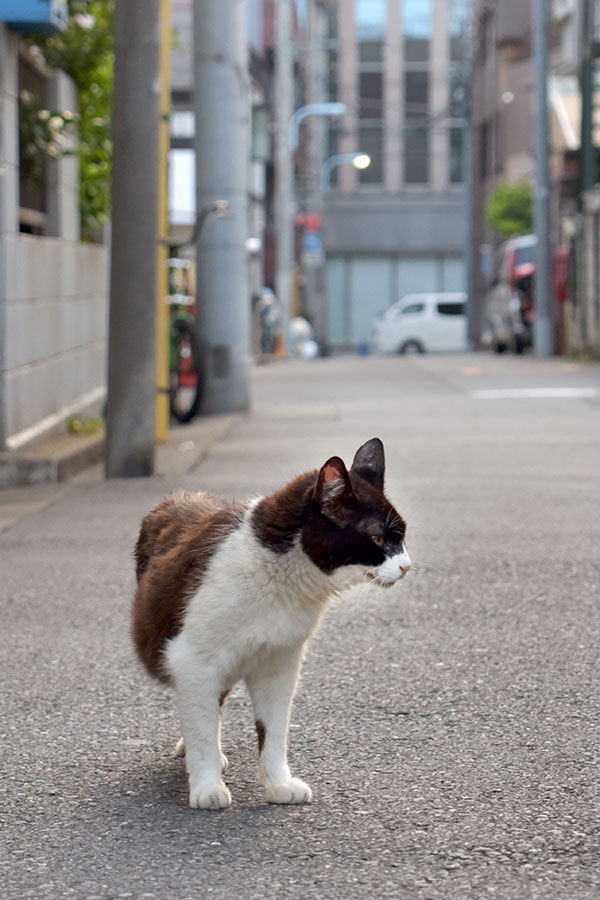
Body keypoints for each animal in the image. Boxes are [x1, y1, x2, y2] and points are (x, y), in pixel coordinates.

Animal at [133, 436, 410, 808]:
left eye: (403, 538)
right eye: (378, 539)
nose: (407, 566)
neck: (279, 573)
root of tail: (176, 497)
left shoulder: (280, 661)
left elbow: (275, 728)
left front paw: (278, 784)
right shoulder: (194, 658)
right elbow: (202, 726)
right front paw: (207, 785)